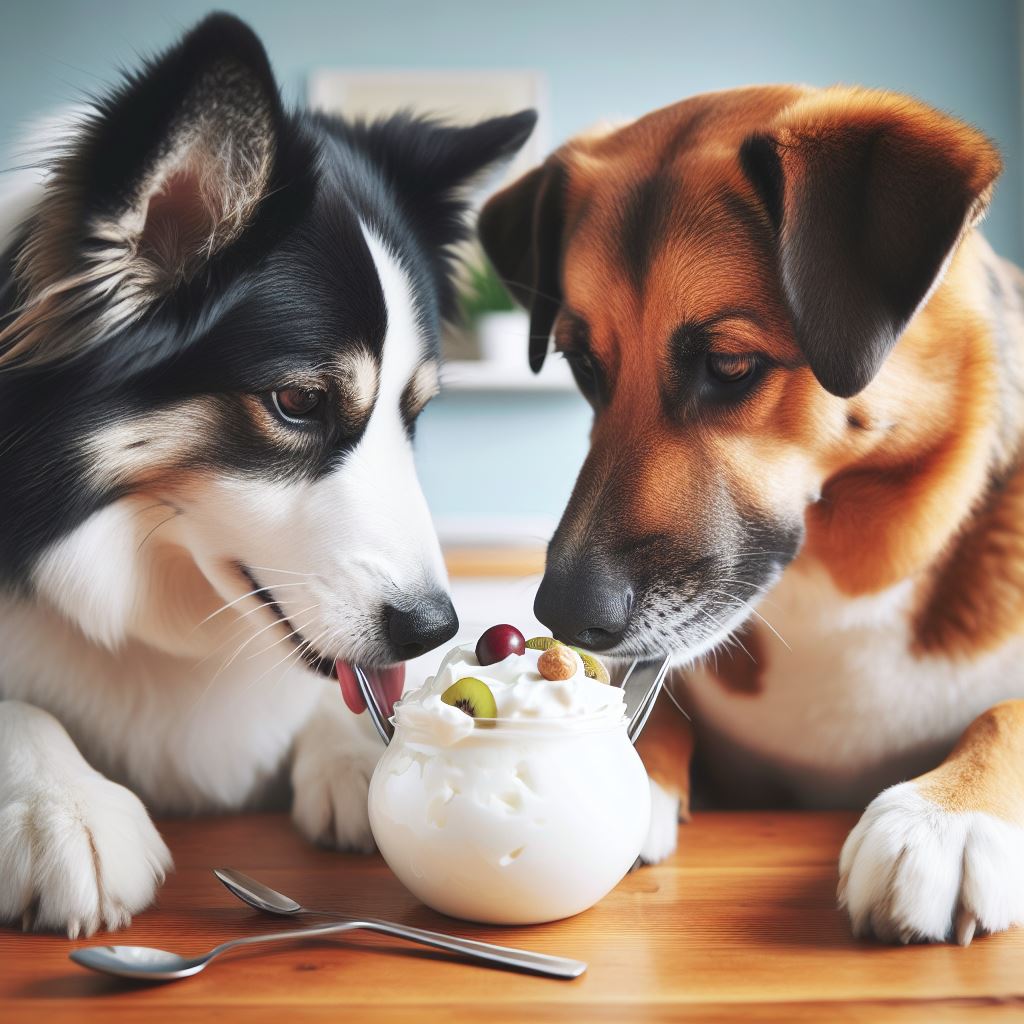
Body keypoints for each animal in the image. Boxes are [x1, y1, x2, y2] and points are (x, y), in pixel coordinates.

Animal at [0, 12, 532, 937]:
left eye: (415, 413)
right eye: (297, 401)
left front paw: (371, 749)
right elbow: (14, 707)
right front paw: (61, 804)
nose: (433, 628)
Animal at [477, 86, 1024, 942]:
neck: (839, 589)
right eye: (583, 365)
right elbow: (646, 703)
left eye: (729, 365)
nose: (562, 616)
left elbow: (1007, 712)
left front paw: (947, 815)